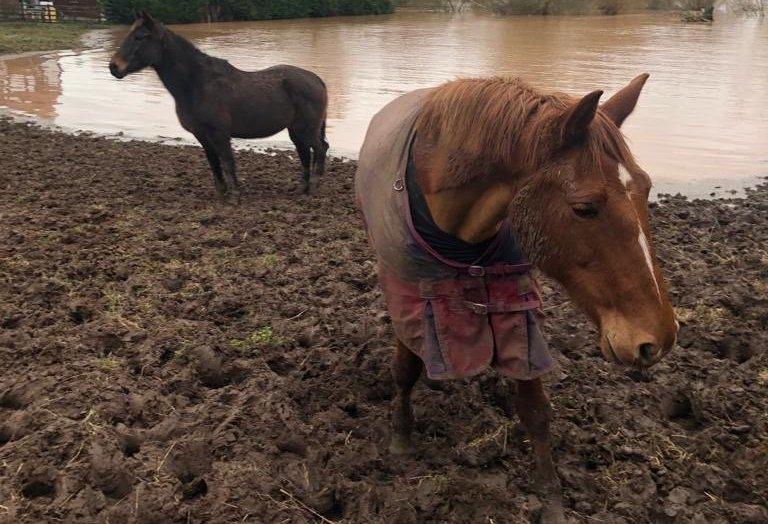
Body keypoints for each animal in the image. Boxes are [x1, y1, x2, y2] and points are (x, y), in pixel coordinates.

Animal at [109, 12, 328, 201]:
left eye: (140, 37)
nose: (114, 67)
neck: (197, 84)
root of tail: (316, 79)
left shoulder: (220, 134)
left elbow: (228, 162)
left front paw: (234, 197)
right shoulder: (202, 135)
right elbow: (214, 163)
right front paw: (222, 194)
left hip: (306, 130)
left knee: (320, 148)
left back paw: (314, 187)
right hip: (296, 130)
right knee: (305, 153)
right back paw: (302, 188)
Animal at [356, 75, 680, 520]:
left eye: (646, 189)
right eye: (584, 208)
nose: (658, 339)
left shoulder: (515, 306)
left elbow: (535, 408)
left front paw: (551, 497)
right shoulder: (409, 295)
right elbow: (405, 370)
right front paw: (401, 438)